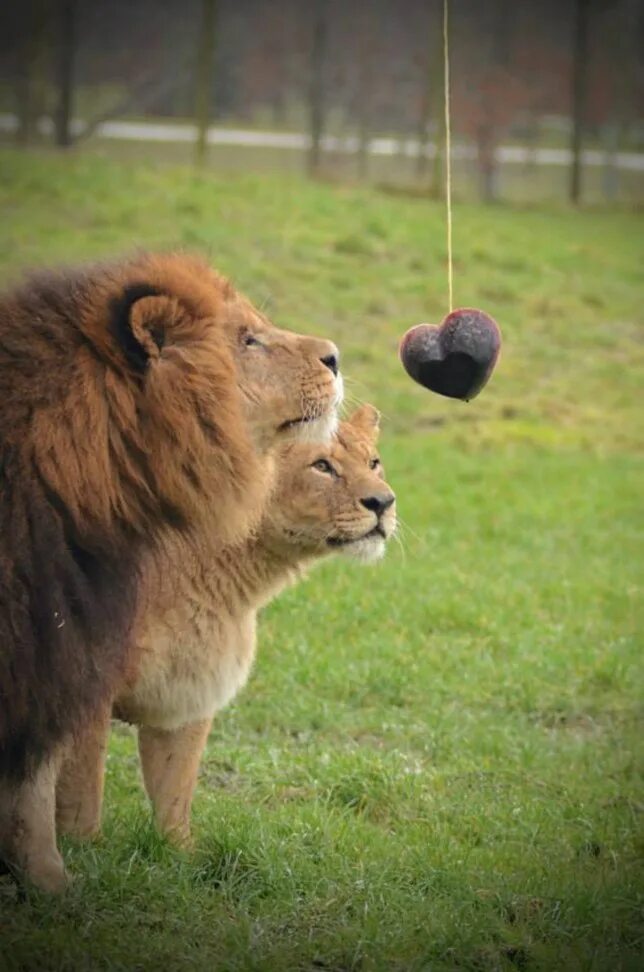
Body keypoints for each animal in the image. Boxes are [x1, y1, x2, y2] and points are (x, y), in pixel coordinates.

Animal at [0, 249, 342, 888]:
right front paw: (55, 882)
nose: (335, 355)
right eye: (248, 339)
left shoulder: (49, 641)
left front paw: (46, 884)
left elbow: (31, 782)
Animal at [56, 406, 398, 848]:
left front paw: (179, 855)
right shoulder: (85, 692)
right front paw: (85, 856)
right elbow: (82, 797)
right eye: (322, 466)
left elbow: (175, 791)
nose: (384, 502)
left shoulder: (187, 688)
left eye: (374, 462)